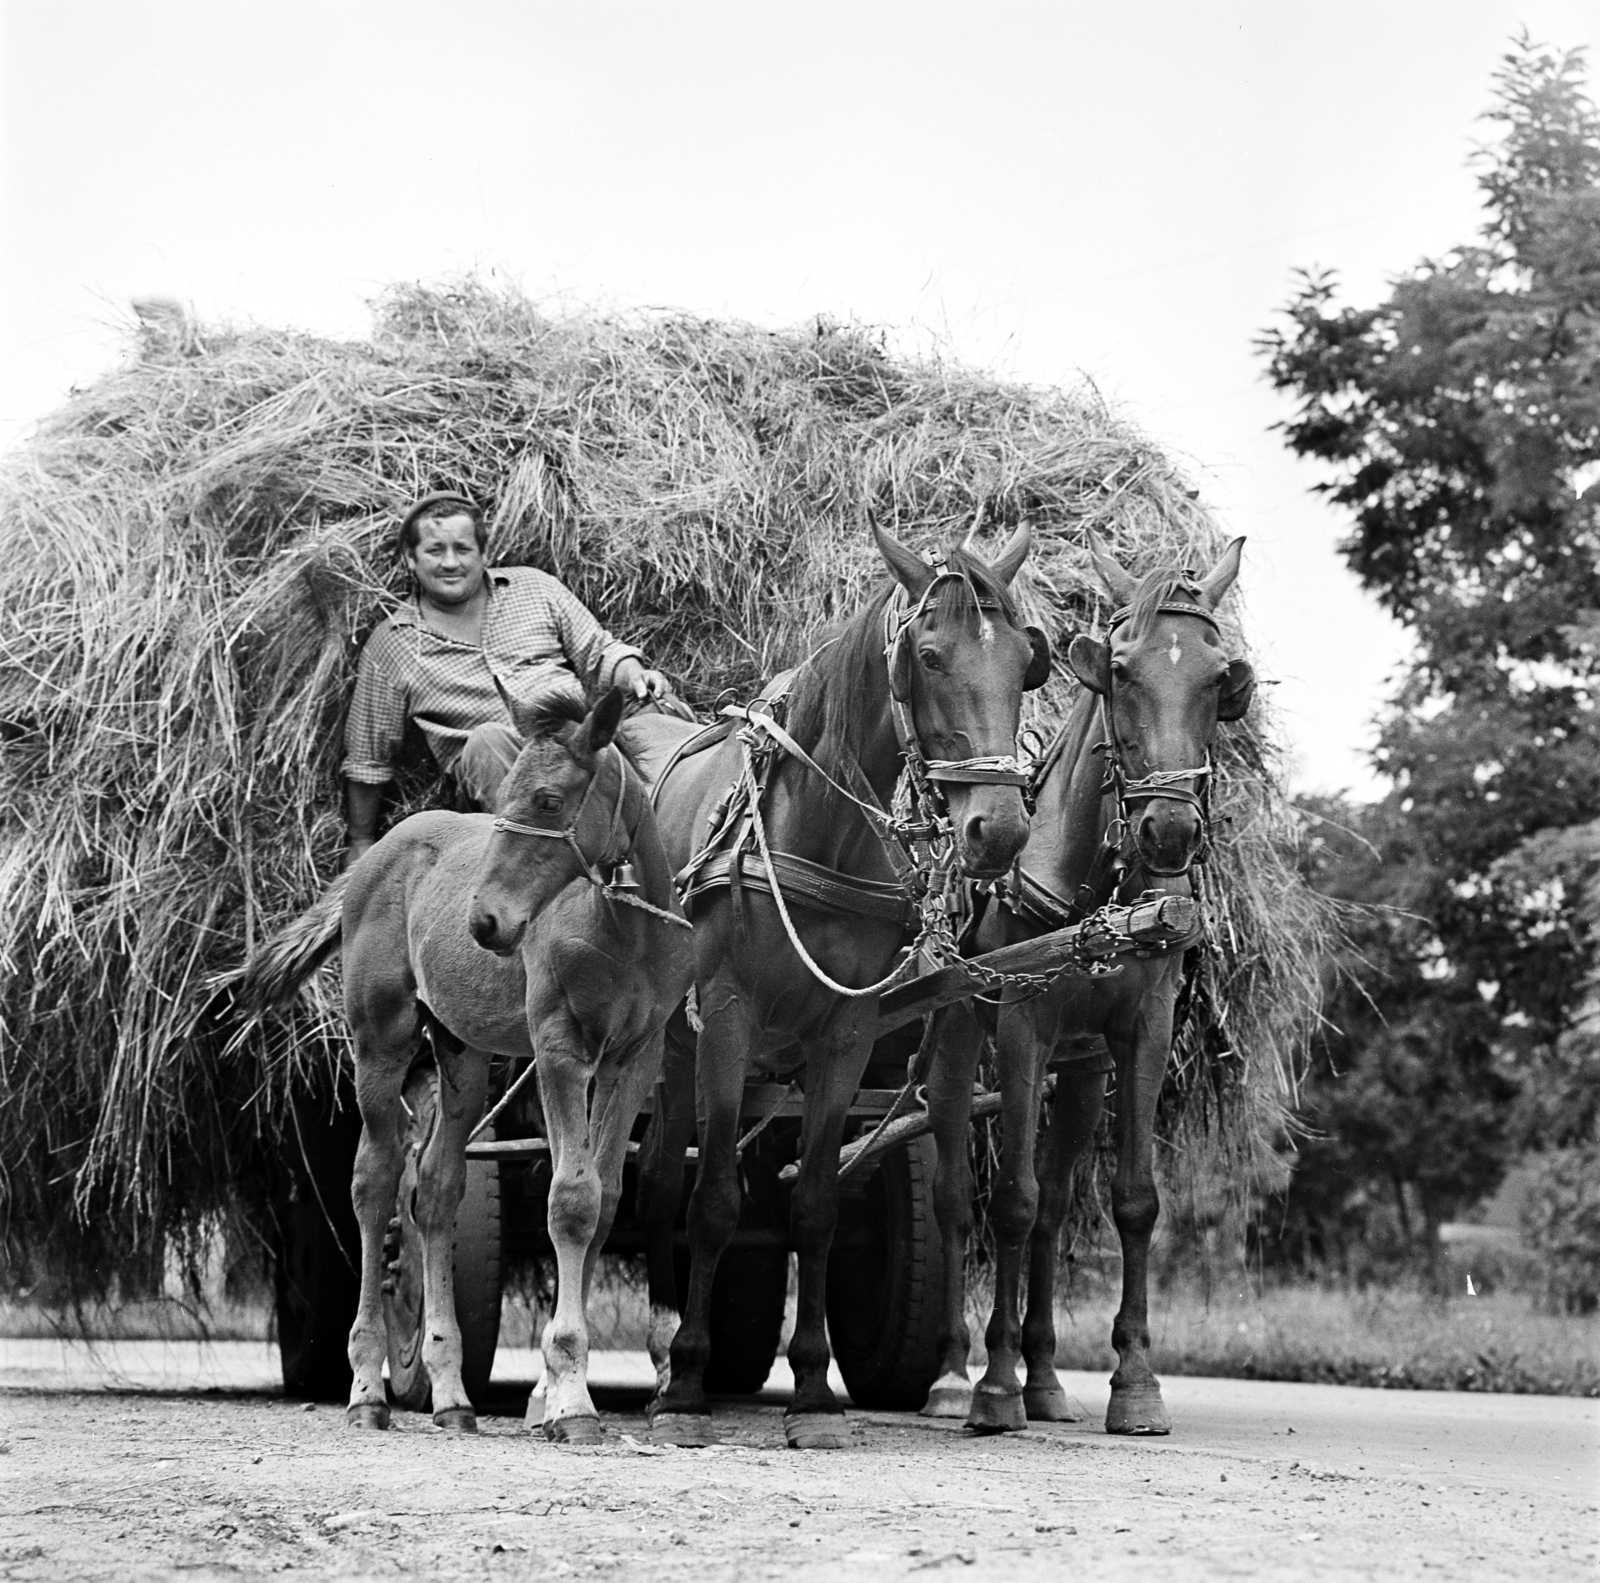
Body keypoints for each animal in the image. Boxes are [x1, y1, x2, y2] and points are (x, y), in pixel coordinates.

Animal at [233, 685, 691, 1440]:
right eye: (501, 792)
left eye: (548, 799)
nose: (485, 923)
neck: (622, 927)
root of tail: (374, 855)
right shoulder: (560, 1049)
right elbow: (570, 1201)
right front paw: (569, 1399)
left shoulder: (634, 1057)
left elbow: (605, 1199)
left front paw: (554, 1388)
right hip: (381, 1039)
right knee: (376, 1184)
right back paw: (367, 1387)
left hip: (461, 1053)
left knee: (436, 1189)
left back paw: (451, 1394)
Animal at [636, 524, 1049, 1453]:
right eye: (927, 657)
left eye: (1026, 662)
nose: (1000, 830)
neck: (812, 833)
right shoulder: (727, 1018)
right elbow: (714, 1201)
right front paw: (688, 1382)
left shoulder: (846, 1035)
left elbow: (818, 1204)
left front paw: (814, 1389)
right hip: (664, 1038)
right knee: (657, 1174)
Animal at [921, 531, 1254, 1434]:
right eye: (1123, 672)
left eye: (1220, 677)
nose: (1169, 829)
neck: (1094, 887)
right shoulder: (1022, 1025)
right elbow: (1010, 1199)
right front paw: (995, 1386)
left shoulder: (1138, 1031)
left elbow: (1130, 1200)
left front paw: (1133, 1381)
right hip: (959, 1039)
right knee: (958, 1195)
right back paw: (956, 1373)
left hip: (1077, 1073)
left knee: (1058, 1196)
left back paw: (1043, 1375)